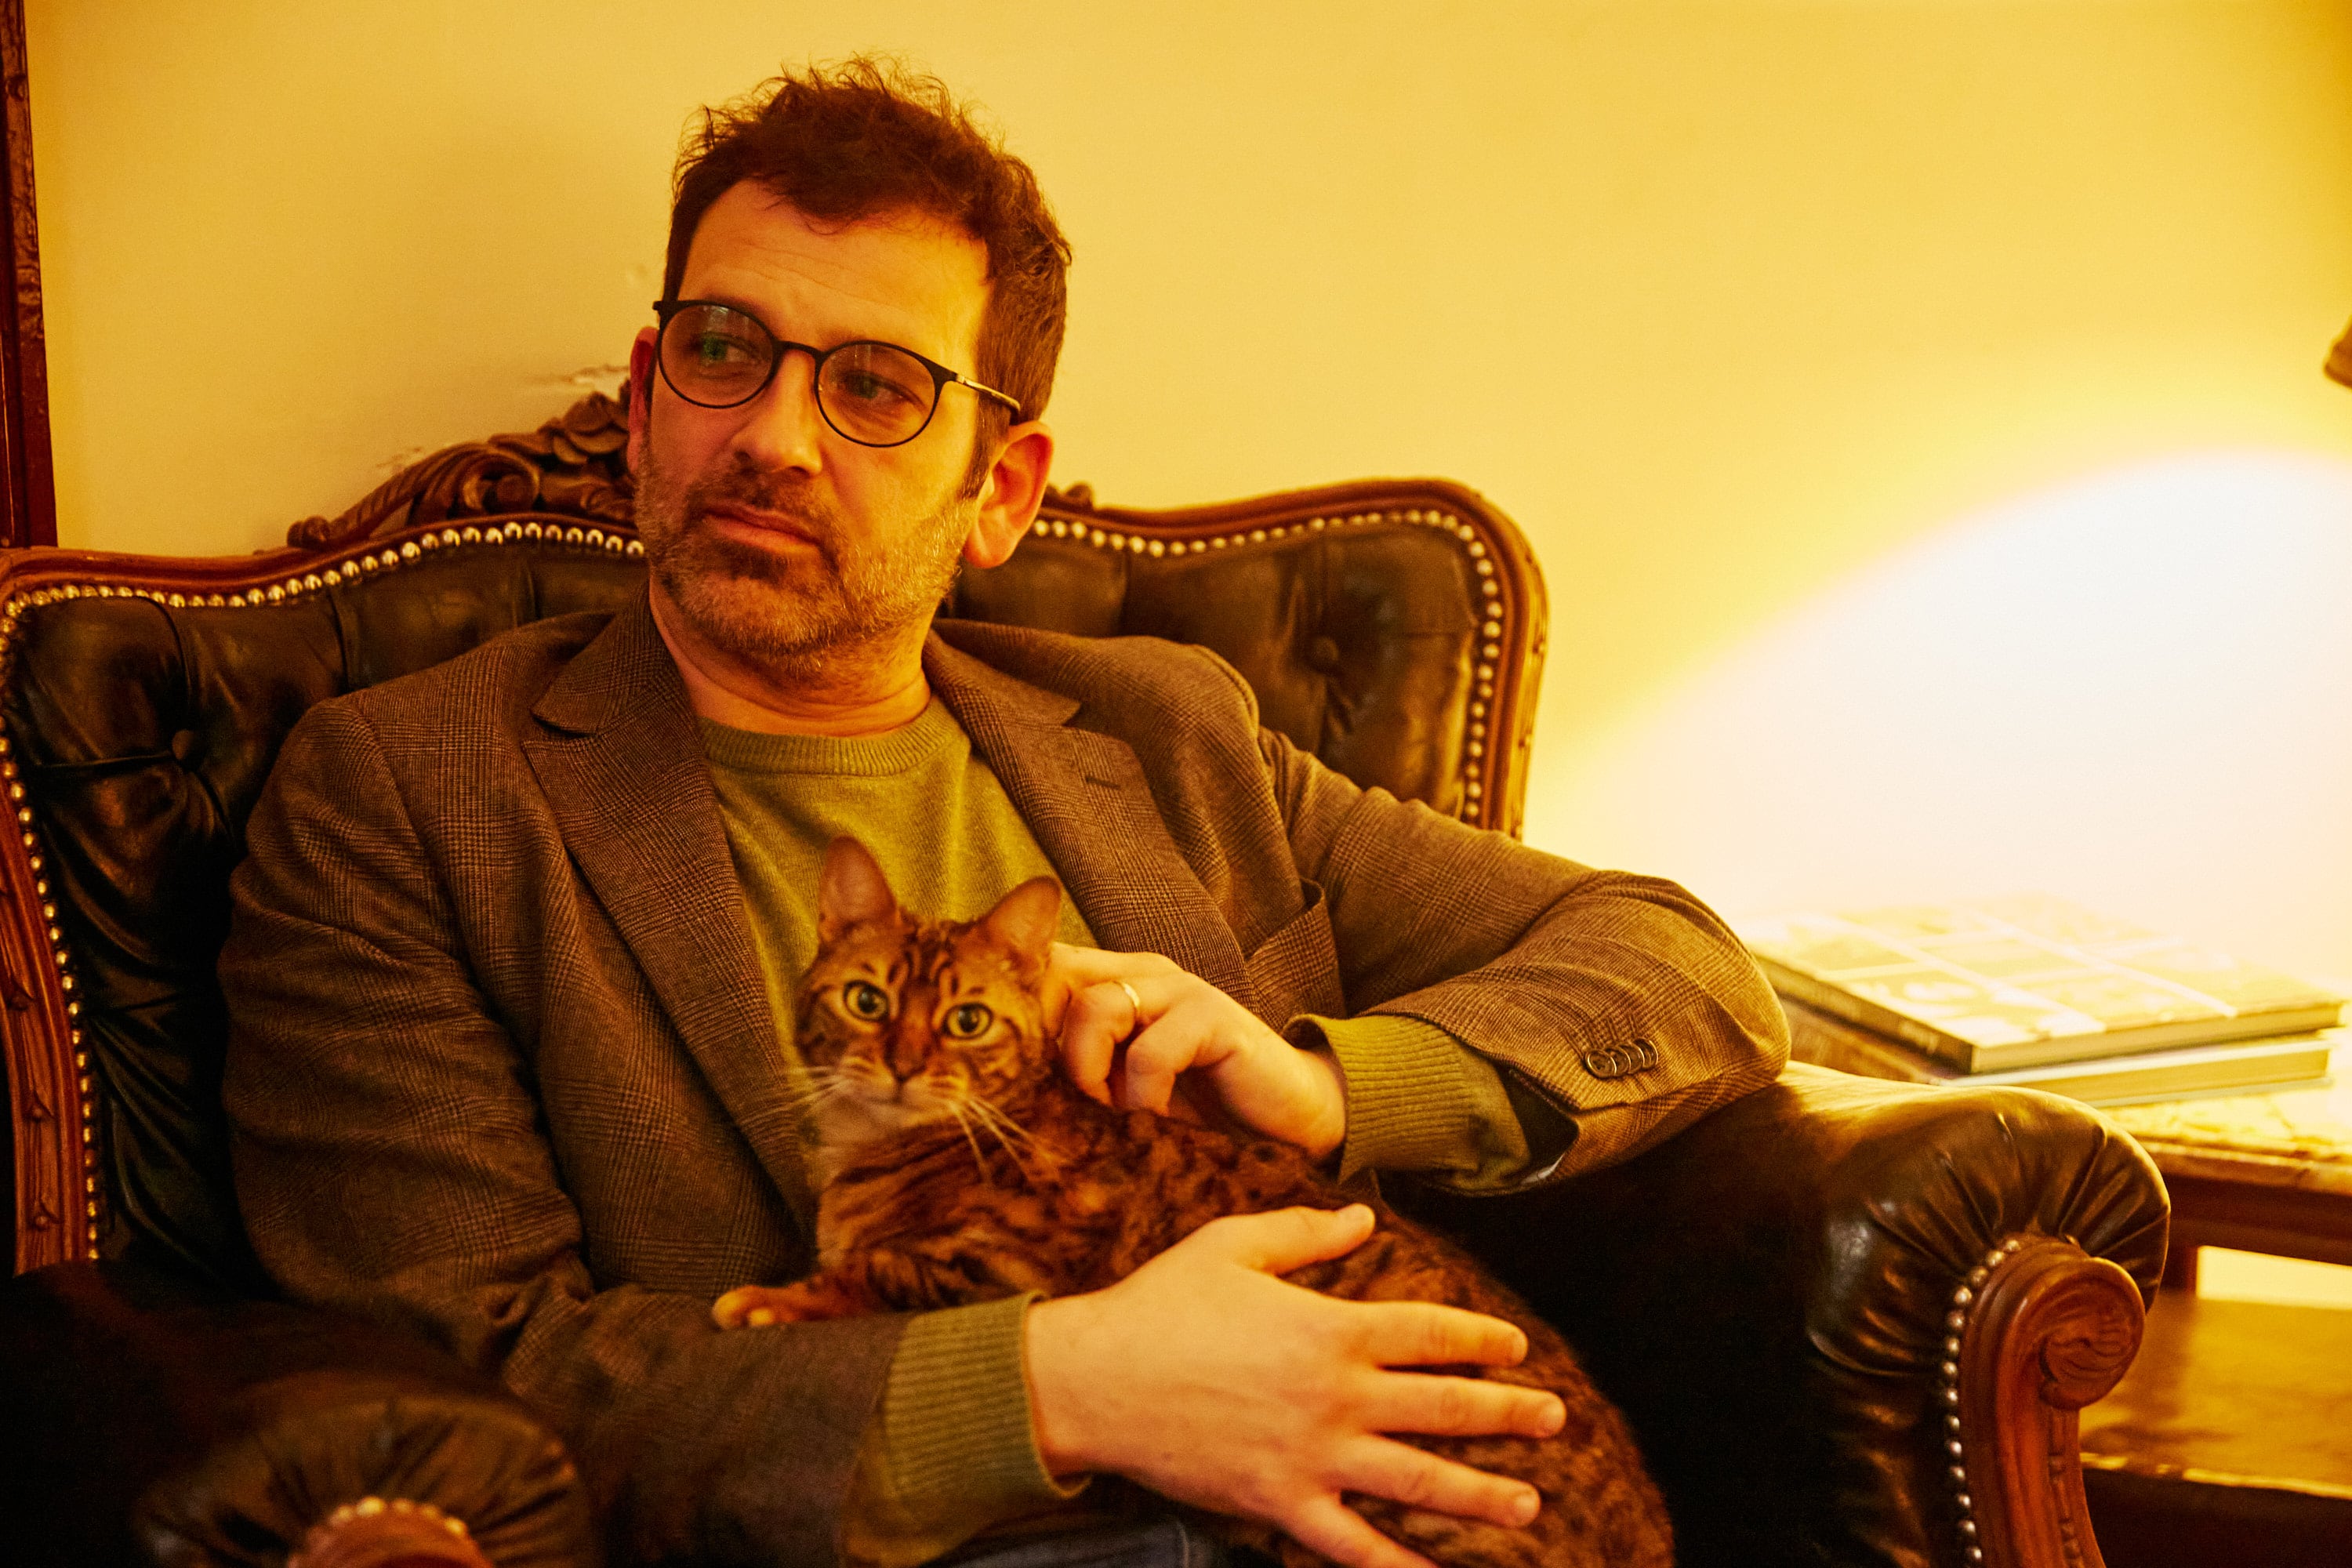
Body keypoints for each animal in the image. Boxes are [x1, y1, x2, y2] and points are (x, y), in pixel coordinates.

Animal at [712, 836, 1673, 1568]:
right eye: (867, 1000)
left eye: (966, 1021)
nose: (905, 1065)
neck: (875, 1152)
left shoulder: (1016, 1266)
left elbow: (884, 1272)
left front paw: (774, 1300)